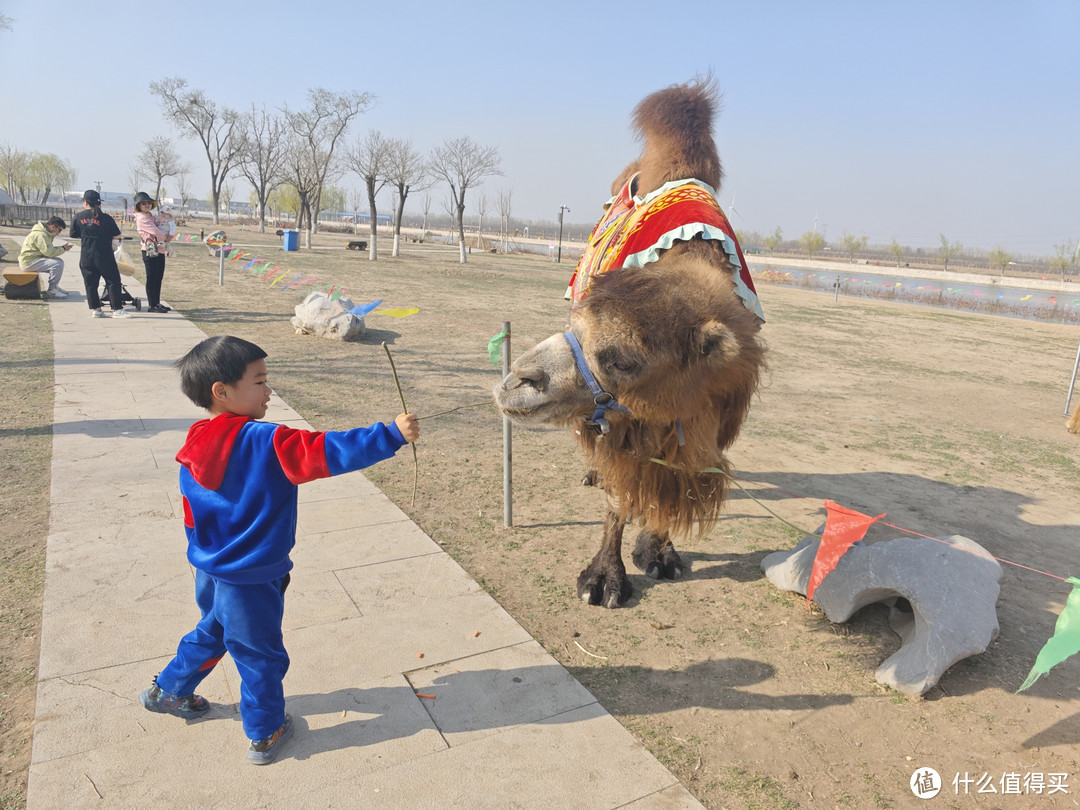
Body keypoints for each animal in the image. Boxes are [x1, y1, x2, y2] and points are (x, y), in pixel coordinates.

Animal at [494, 79, 764, 609]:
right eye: (574, 322)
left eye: (622, 360)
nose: (516, 381)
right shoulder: (620, 424)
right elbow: (620, 493)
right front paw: (603, 580)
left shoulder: (713, 414)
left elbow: (670, 480)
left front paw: (660, 553)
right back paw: (591, 474)